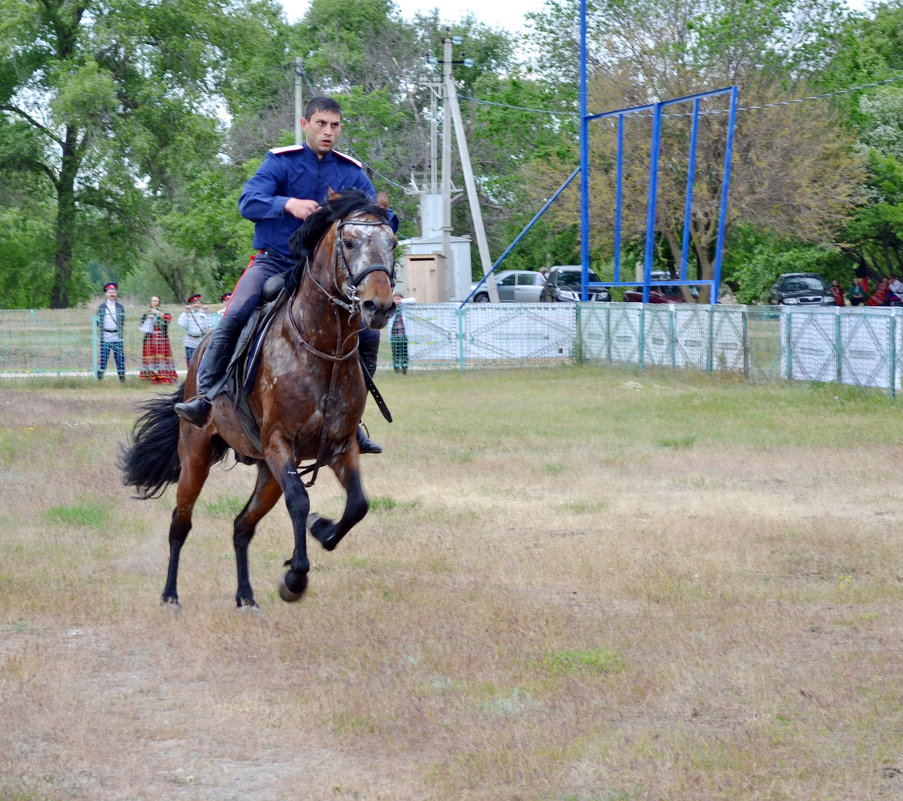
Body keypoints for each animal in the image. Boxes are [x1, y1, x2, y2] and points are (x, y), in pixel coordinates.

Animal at [121, 191, 400, 608]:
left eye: (392, 243)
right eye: (349, 242)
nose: (378, 306)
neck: (322, 348)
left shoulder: (339, 446)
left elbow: (357, 506)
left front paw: (322, 531)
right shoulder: (279, 443)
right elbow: (300, 502)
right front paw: (296, 578)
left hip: (268, 474)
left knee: (242, 526)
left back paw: (246, 596)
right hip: (197, 457)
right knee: (180, 523)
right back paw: (170, 595)